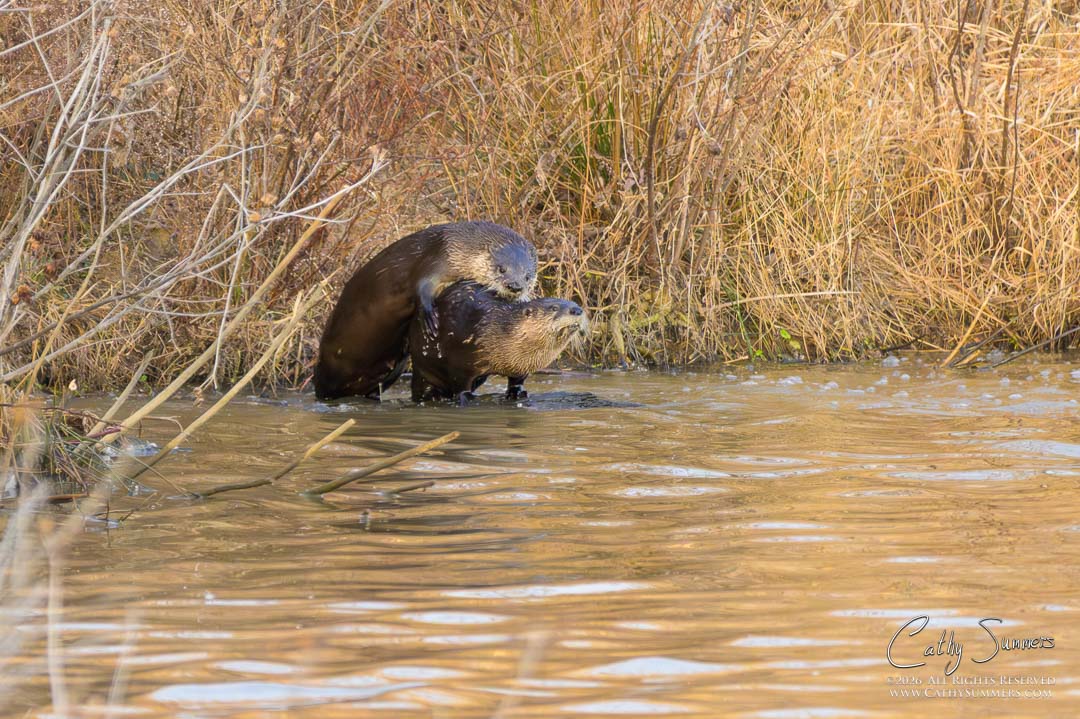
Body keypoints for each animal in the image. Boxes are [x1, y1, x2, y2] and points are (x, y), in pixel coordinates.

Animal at [314, 222, 537, 400]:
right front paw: (430, 317)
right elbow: (422, 285)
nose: (516, 287)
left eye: (528, 275)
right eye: (501, 268)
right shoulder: (439, 257)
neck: (460, 248)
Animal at [408, 281, 588, 405]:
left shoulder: (520, 367)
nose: (577, 310)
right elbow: (461, 384)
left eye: (575, 304)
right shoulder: (461, 362)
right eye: (554, 308)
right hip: (425, 365)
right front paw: (466, 398)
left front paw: (518, 393)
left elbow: (517, 381)